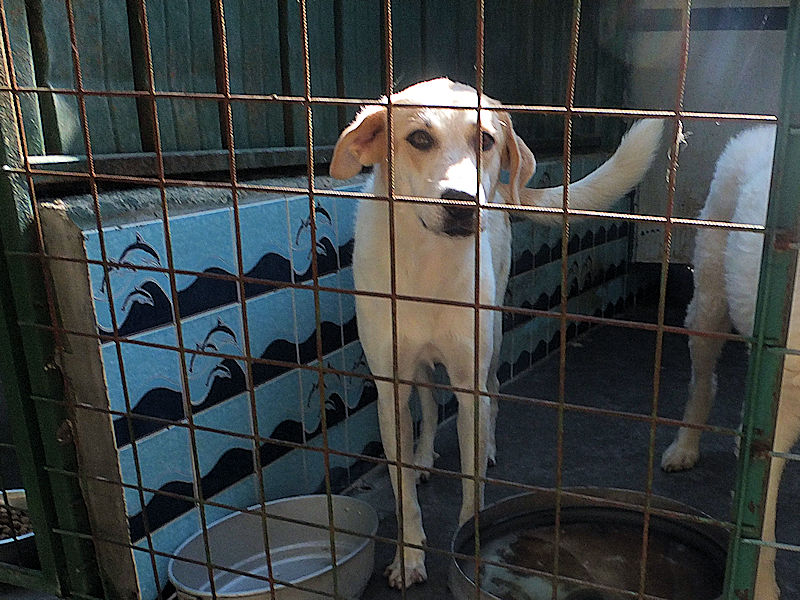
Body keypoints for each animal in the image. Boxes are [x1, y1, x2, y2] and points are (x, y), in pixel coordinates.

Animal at [329, 78, 663, 589]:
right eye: (419, 138)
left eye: (485, 140)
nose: (462, 204)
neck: (428, 262)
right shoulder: (390, 387)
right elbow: (403, 488)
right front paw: (409, 555)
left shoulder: (469, 382)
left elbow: (473, 482)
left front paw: (471, 537)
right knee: (429, 400)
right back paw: (424, 455)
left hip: (493, 340)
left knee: (493, 390)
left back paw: (486, 445)